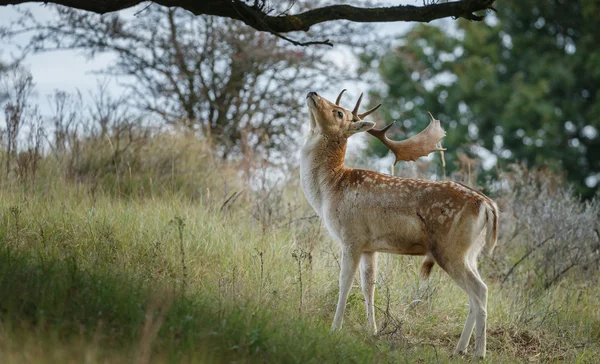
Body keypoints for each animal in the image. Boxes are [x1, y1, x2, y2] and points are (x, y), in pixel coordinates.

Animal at [300, 90, 496, 358]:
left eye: (338, 113)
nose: (313, 93)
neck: (330, 189)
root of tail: (487, 205)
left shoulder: (351, 237)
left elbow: (345, 283)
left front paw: (334, 329)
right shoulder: (370, 246)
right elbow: (368, 286)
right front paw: (372, 331)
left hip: (450, 248)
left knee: (480, 291)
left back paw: (479, 352)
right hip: (471, 252)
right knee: (475, 294)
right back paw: (459, 349)